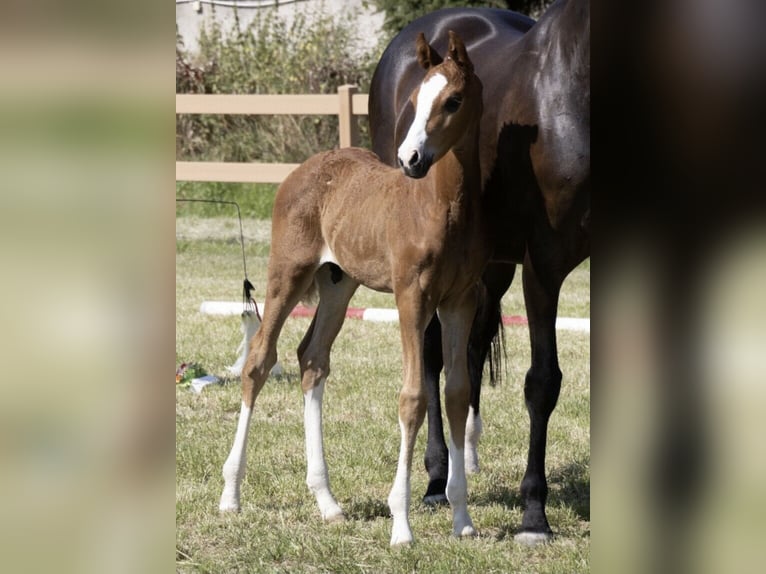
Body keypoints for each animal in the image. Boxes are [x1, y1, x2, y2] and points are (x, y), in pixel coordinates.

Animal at [219, 32, 488, 548]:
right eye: (413, 99)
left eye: (454, 100)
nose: (410, 160)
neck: (443, 208)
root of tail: (303, 170)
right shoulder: (412, 298)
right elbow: (413, 399)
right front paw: (401, 525)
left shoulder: (460, 301)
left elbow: (457, 393)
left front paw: (462, 519)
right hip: (289, 272)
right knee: (259, 359)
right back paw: (231, 494)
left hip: (338, 284)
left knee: (311, 360)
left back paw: (327, 502)